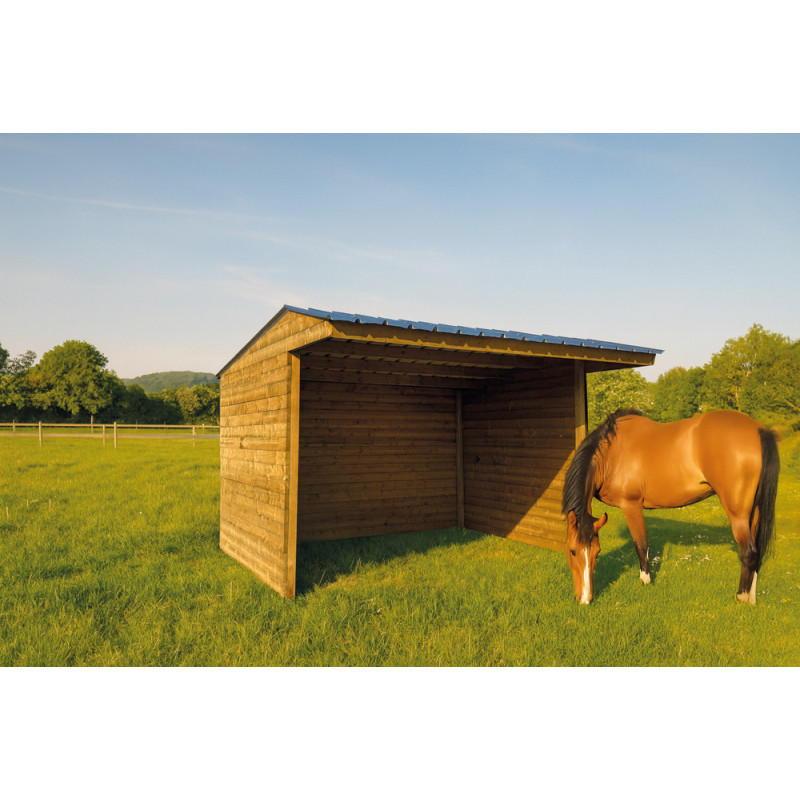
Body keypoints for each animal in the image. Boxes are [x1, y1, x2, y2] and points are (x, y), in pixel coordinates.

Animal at [561, 408, 779, 605]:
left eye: (596, 552)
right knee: (757, 553)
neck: (611, 452)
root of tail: (759, 430)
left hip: (738, 514)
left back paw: (741, 597)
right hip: (754, 513)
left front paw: (645, 581)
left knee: (749, 552)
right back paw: (751, 597)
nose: (585, 599)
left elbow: (641, 544)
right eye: (573, 551)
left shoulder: (630, 505)